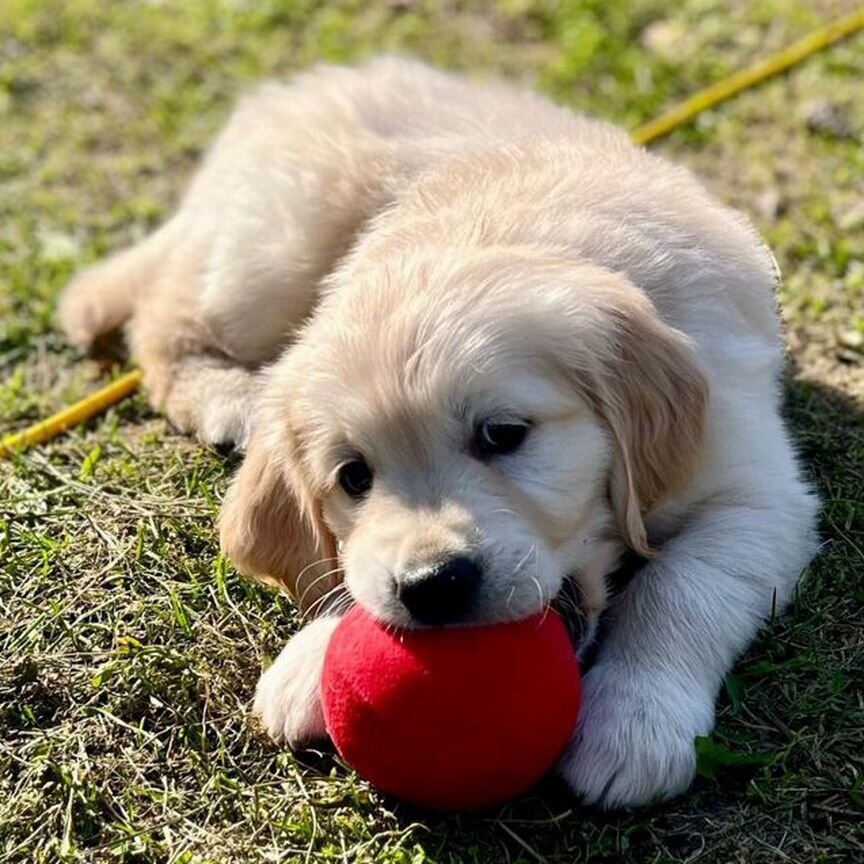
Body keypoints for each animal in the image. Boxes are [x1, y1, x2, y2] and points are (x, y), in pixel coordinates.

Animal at [60, 57, 816, 808]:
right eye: (353, 476)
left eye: (503, 435)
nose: (431, 586)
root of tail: (286, 96)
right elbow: (347, 568)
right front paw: (314, 655)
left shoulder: (756, 493)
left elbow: (679, 590)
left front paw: (634, 721)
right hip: (272, 252)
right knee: (160, 320)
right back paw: (228, 398)